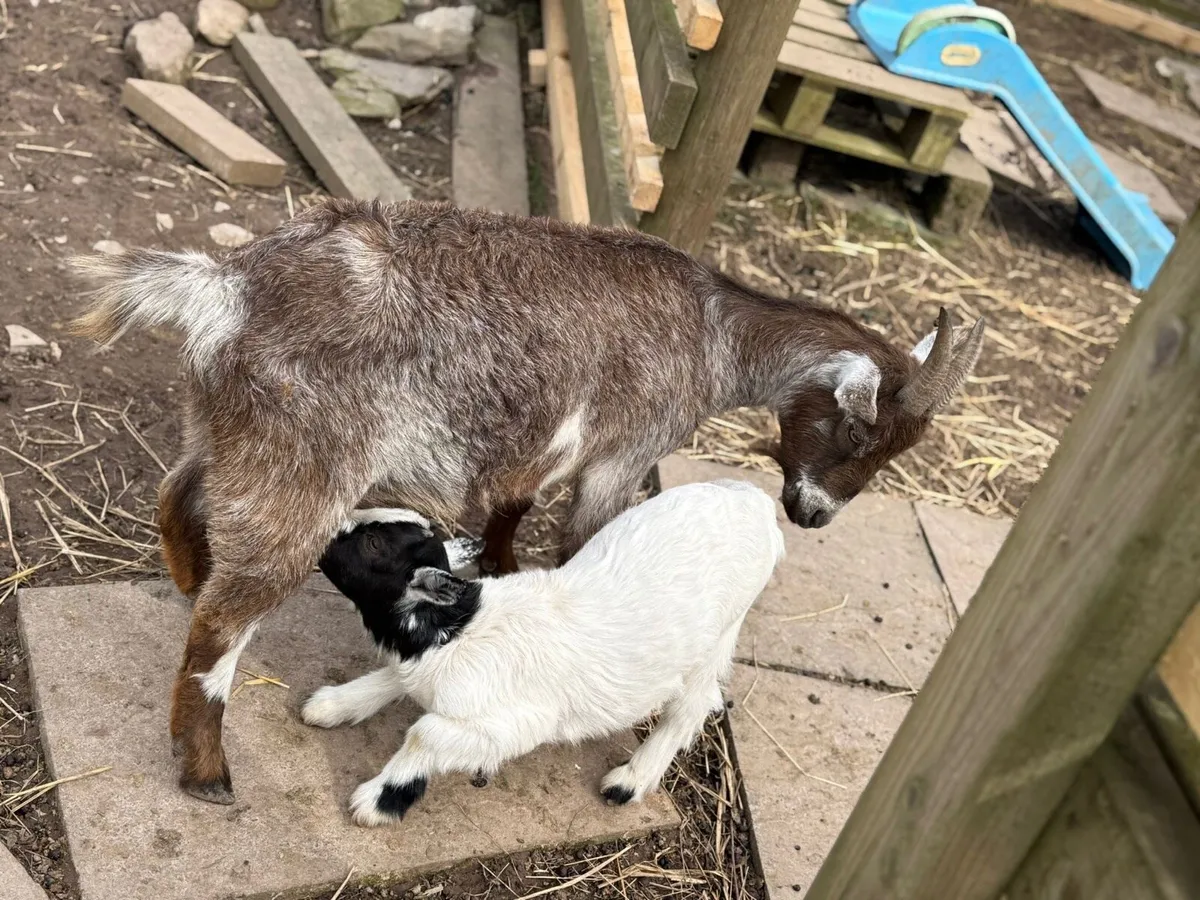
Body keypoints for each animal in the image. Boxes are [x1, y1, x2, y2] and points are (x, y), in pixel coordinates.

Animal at [307, 480, 786, 826]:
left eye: (373, 545)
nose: (318, 538)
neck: (459, 629)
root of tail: (757, 501)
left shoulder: (516, 723)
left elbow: (424, 733)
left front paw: (376, 803)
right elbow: (392, 678)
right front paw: (330, 706)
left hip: (722, 630)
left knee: (694, 704)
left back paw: (628, 783)